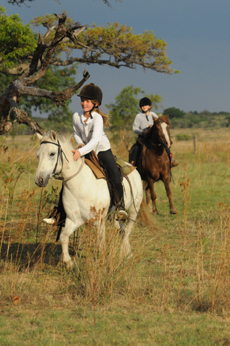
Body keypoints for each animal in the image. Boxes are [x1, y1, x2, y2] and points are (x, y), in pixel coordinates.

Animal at [34, 130, 143, 268]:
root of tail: (134, 169)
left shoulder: (99, 220)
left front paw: (102, 263)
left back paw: (126, 252)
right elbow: (64, 236)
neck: (81, 184)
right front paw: (68, 262)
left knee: (128, 229)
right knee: (122, 231)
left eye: (52, 154)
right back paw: (127, 252)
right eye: (38, 155)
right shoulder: (74, 219)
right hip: (113, 216)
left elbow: (100, 243)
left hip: (134, 210)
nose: (39, 180)